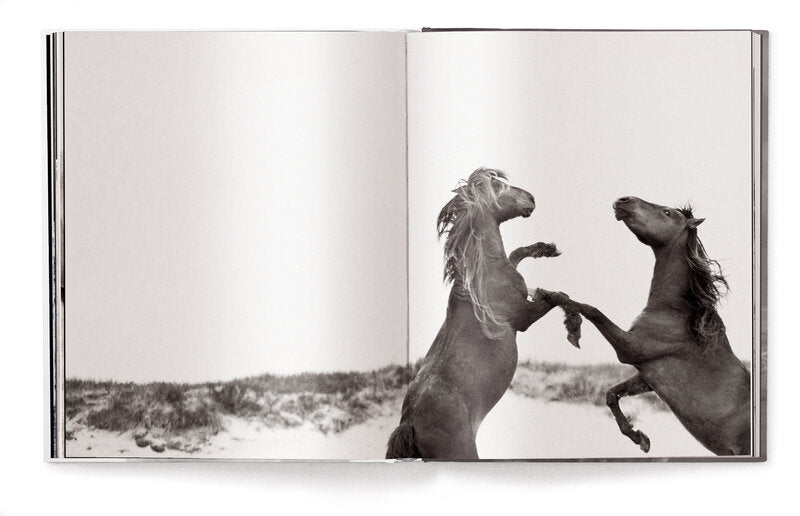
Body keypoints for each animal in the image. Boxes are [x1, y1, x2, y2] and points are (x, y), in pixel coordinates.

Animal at [386, 168, 579, 460]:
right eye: (498, 186)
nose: (531, 198)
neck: (483, 276)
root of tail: (409, 425)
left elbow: (517, 254)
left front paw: (547, 248)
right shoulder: (523, 317)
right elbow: (557, 297)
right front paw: (573, 328)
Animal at [540, 195, 751, 455]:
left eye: (668, 212)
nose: (624, 200)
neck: (675, 312)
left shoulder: (630, 349)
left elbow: (591, 310)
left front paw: (553, 302)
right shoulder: (648, 377)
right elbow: (611, 394)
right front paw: (639, 438)